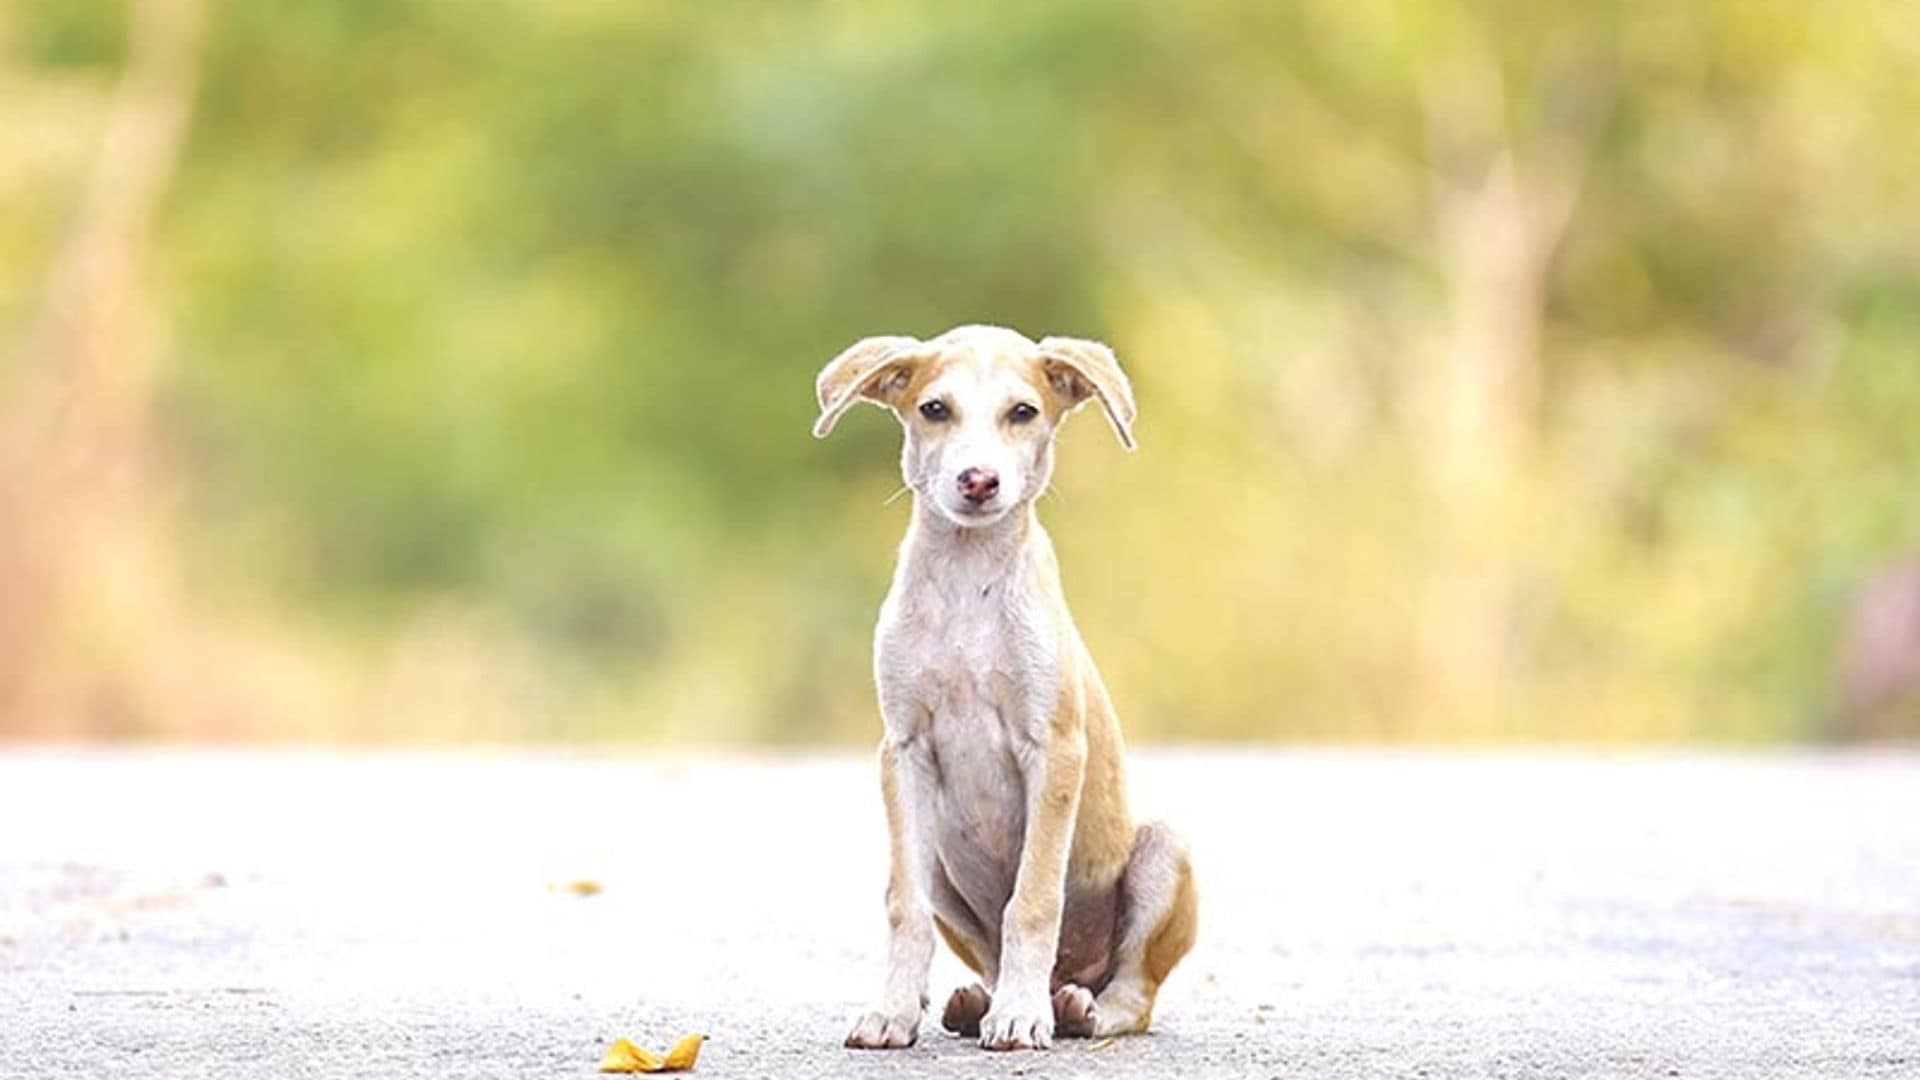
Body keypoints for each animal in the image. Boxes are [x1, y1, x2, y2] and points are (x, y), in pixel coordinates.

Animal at [814, 322, 1198, 1045]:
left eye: (1023, 412)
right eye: (935, 409)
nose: (978, 481)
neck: (968, 581)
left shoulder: (1055, 749)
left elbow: (1034, 899)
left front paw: (1021, 1015)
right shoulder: (903, 751)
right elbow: (902, 904)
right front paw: (893, 1010)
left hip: (1163, 851)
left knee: (1133, 994)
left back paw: (1071, 1008)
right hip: (942, 859)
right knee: (987, 954)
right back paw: (981, 1002)